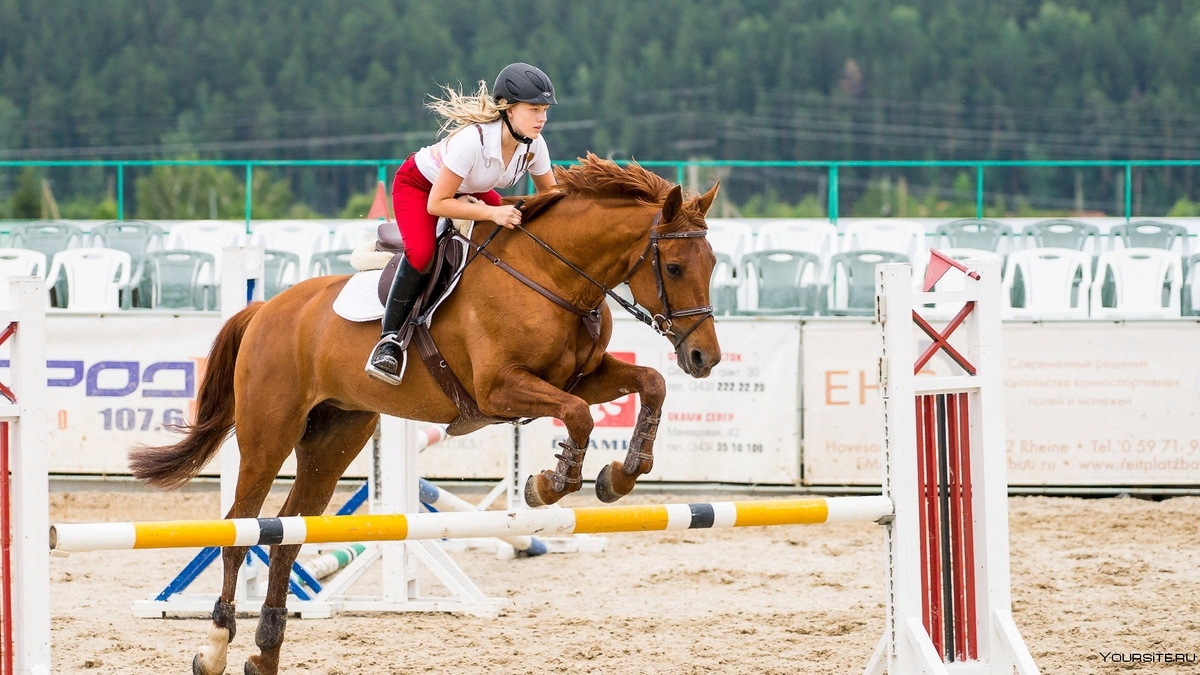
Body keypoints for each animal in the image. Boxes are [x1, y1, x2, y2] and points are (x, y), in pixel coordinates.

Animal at [129, 154, 720, 672]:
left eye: (712, 265)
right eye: (672, 266)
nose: (705, 357)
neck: (552, 276)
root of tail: (264, 309)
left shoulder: (581, 377)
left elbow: (650, 384)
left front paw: (623, 473)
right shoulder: (501, 389)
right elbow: (578, 416)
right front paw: (549, 485)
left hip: (334, 439)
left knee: (287, 533)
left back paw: (265, 654)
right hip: (268, 435)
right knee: (241, 528)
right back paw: (214, 649)